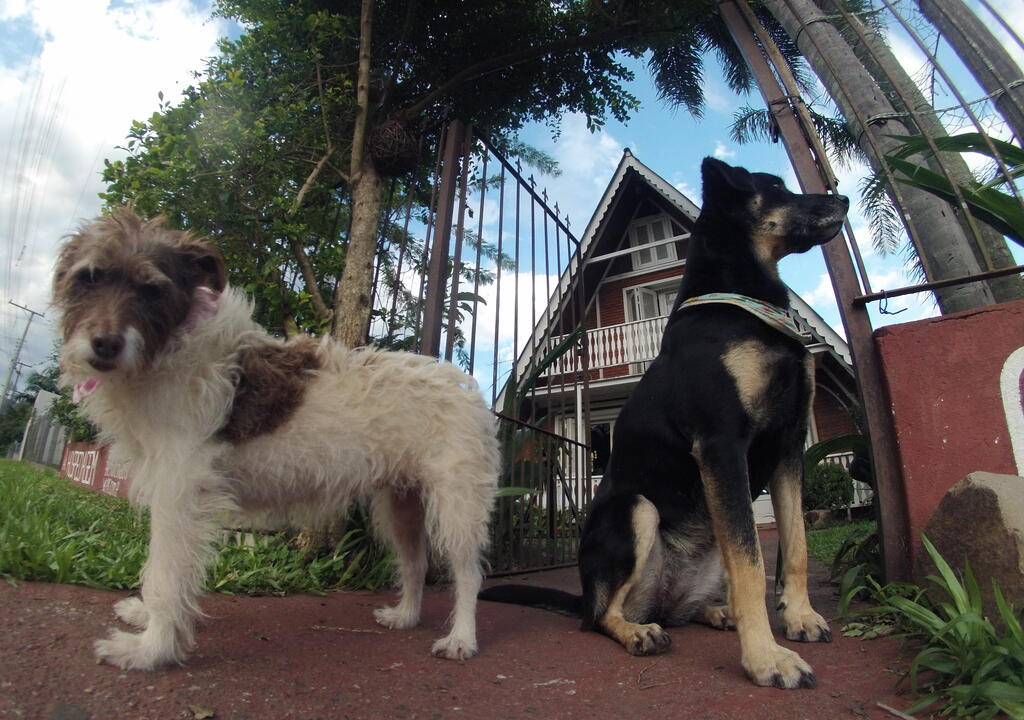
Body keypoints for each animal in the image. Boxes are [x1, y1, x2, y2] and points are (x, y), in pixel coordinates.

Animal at [52, 208, 500, 670]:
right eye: (90, 278)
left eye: (152, 289)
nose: (105, 344)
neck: (173, 347)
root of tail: (465, 386)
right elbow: (162, 568)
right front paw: (146, 622)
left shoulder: (180, 490)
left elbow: (166, 572)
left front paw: (150, 650)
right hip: (401, 503)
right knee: (414, 562)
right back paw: (406, 615)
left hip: (458, 505)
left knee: (468, 573)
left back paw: (461, 637)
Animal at [480, 157, 849, 689]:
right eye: (777, 187)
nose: (843, 199)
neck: (738, 301)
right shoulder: (721, 444)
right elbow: (752, 564)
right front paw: (766, 658)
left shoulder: (788, 445)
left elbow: (794, 545)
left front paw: (799, 618)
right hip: (635, 510)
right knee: (601, 617)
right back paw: (638, 632)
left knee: (683, 607)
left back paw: (715, 612)